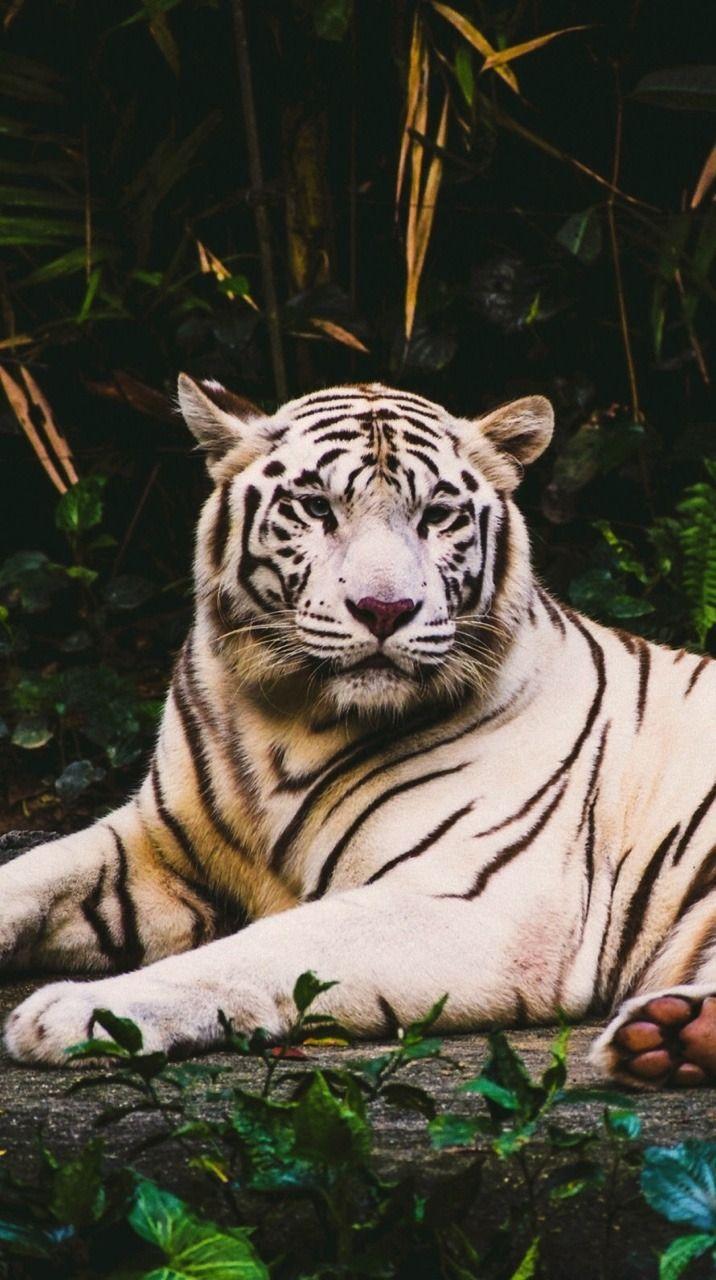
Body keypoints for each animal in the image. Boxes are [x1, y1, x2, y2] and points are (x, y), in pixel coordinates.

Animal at [3, 376, 716, 1090]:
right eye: (317, 508)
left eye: (437, 515)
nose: (384, 609)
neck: (288, 718)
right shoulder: (154, 844)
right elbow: (30, 871)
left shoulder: (483, 904)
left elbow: (262, 949)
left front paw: (83, 1013)